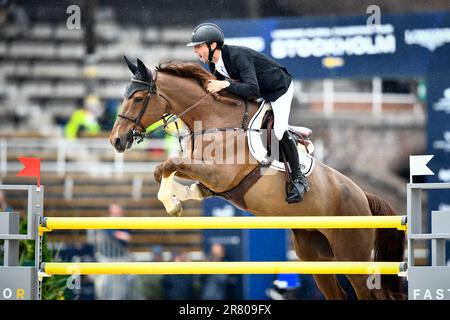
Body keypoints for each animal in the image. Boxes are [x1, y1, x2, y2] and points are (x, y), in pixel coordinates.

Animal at [109, 58, 404, 300]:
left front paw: (172, 203)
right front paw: (175, 200)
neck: (216, 120)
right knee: (336, 293)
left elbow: (170, 164)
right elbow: (165, 169)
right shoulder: (207, 175)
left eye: (137, 98)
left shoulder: (219, 174)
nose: (116, 141)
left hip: (351, 255)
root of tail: (363, 196)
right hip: (314, 254)